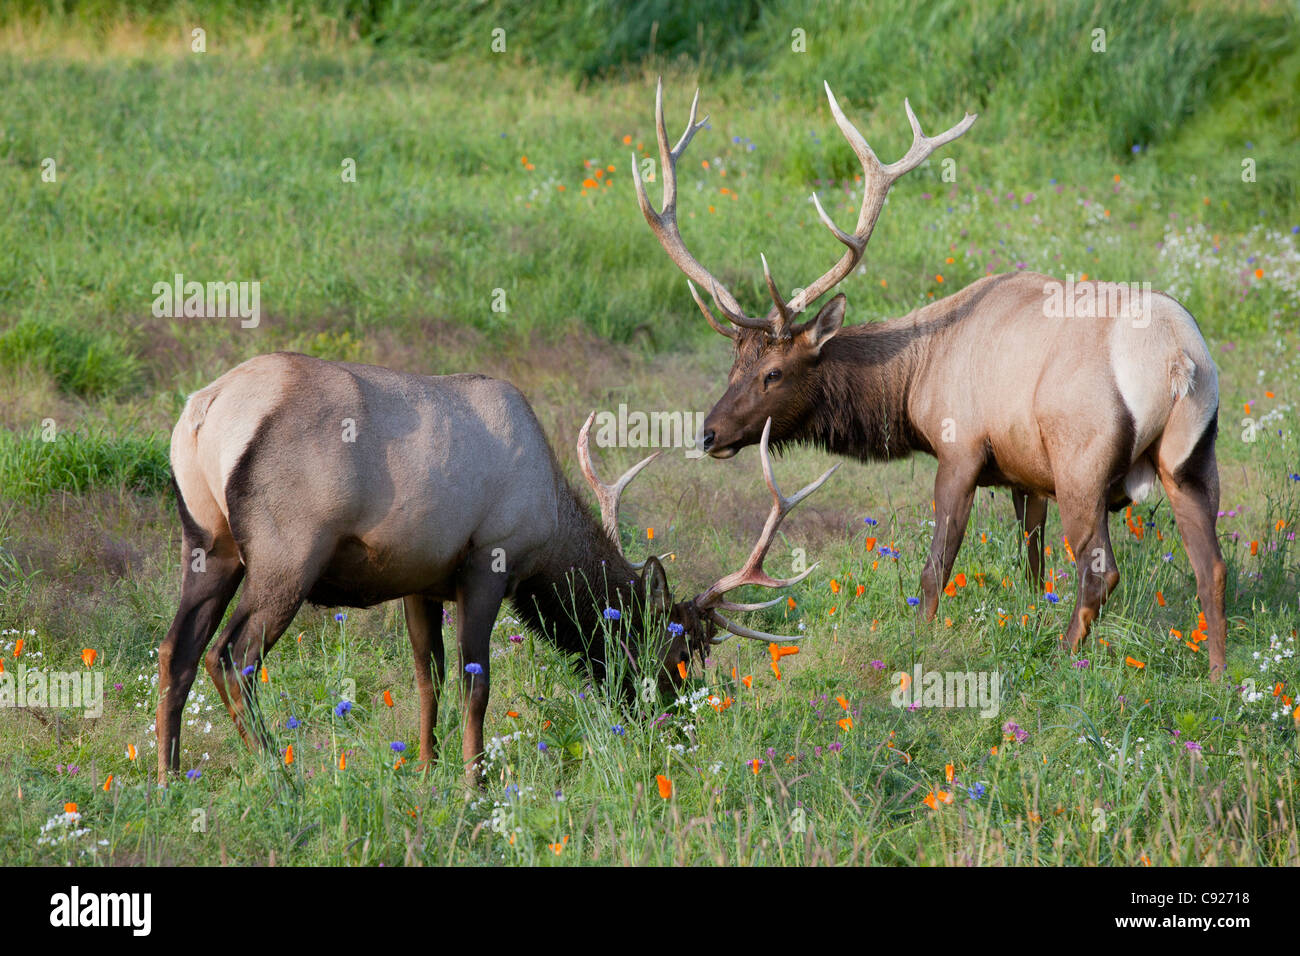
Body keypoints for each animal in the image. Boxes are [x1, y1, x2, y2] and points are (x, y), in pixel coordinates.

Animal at [159, 351, 832, 785]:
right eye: (681, 651)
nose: (680, 728)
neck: (549, 534)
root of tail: (202, 412)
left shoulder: (420, 580)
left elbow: (426, 677)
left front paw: (426, 771)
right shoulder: (489, 562)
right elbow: (475, 684)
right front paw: (472, 783)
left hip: (209, 542)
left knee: (177, 649)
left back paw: (168, 781)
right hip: (288, 552)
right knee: (232, 656)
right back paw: (278, 773)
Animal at [637, 82, 1227, 681]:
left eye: (772, 373)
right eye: (733, 364)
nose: (708, 433)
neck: (913, 381)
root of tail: (1179, 359)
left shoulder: (961, 447)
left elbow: (935, 567)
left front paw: (919, 642)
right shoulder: (1026, 472)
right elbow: (1032, 563)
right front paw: (1031, 614)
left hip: (1082, 461)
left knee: (1099, 570)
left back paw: (1066, 658)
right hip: (1192, 458)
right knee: (1212, 568)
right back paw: (1219, 675)